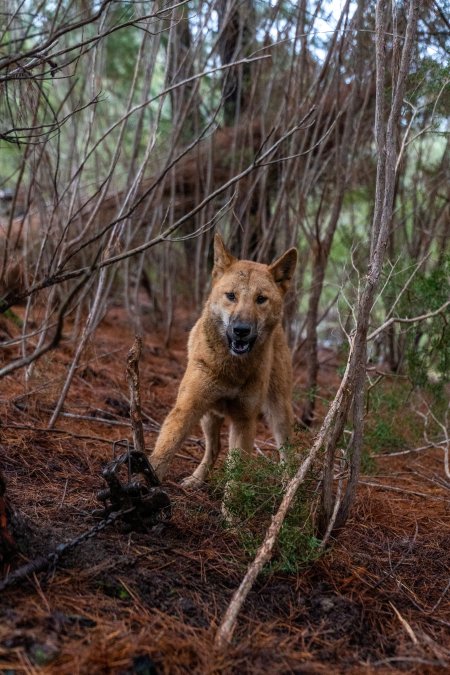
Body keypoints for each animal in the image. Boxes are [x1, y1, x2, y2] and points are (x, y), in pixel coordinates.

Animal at [151, 234, 298, 486]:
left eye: (261, 299)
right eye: (231, 296)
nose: (241, 330)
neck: (232, 369)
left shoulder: (244, 420)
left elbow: (236, 476)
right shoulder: (188, 406)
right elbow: (165, 449)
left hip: (279, 411)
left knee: (285, 452)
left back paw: (289, 486)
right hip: (208, 416)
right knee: (214, 448)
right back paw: (196, 479)